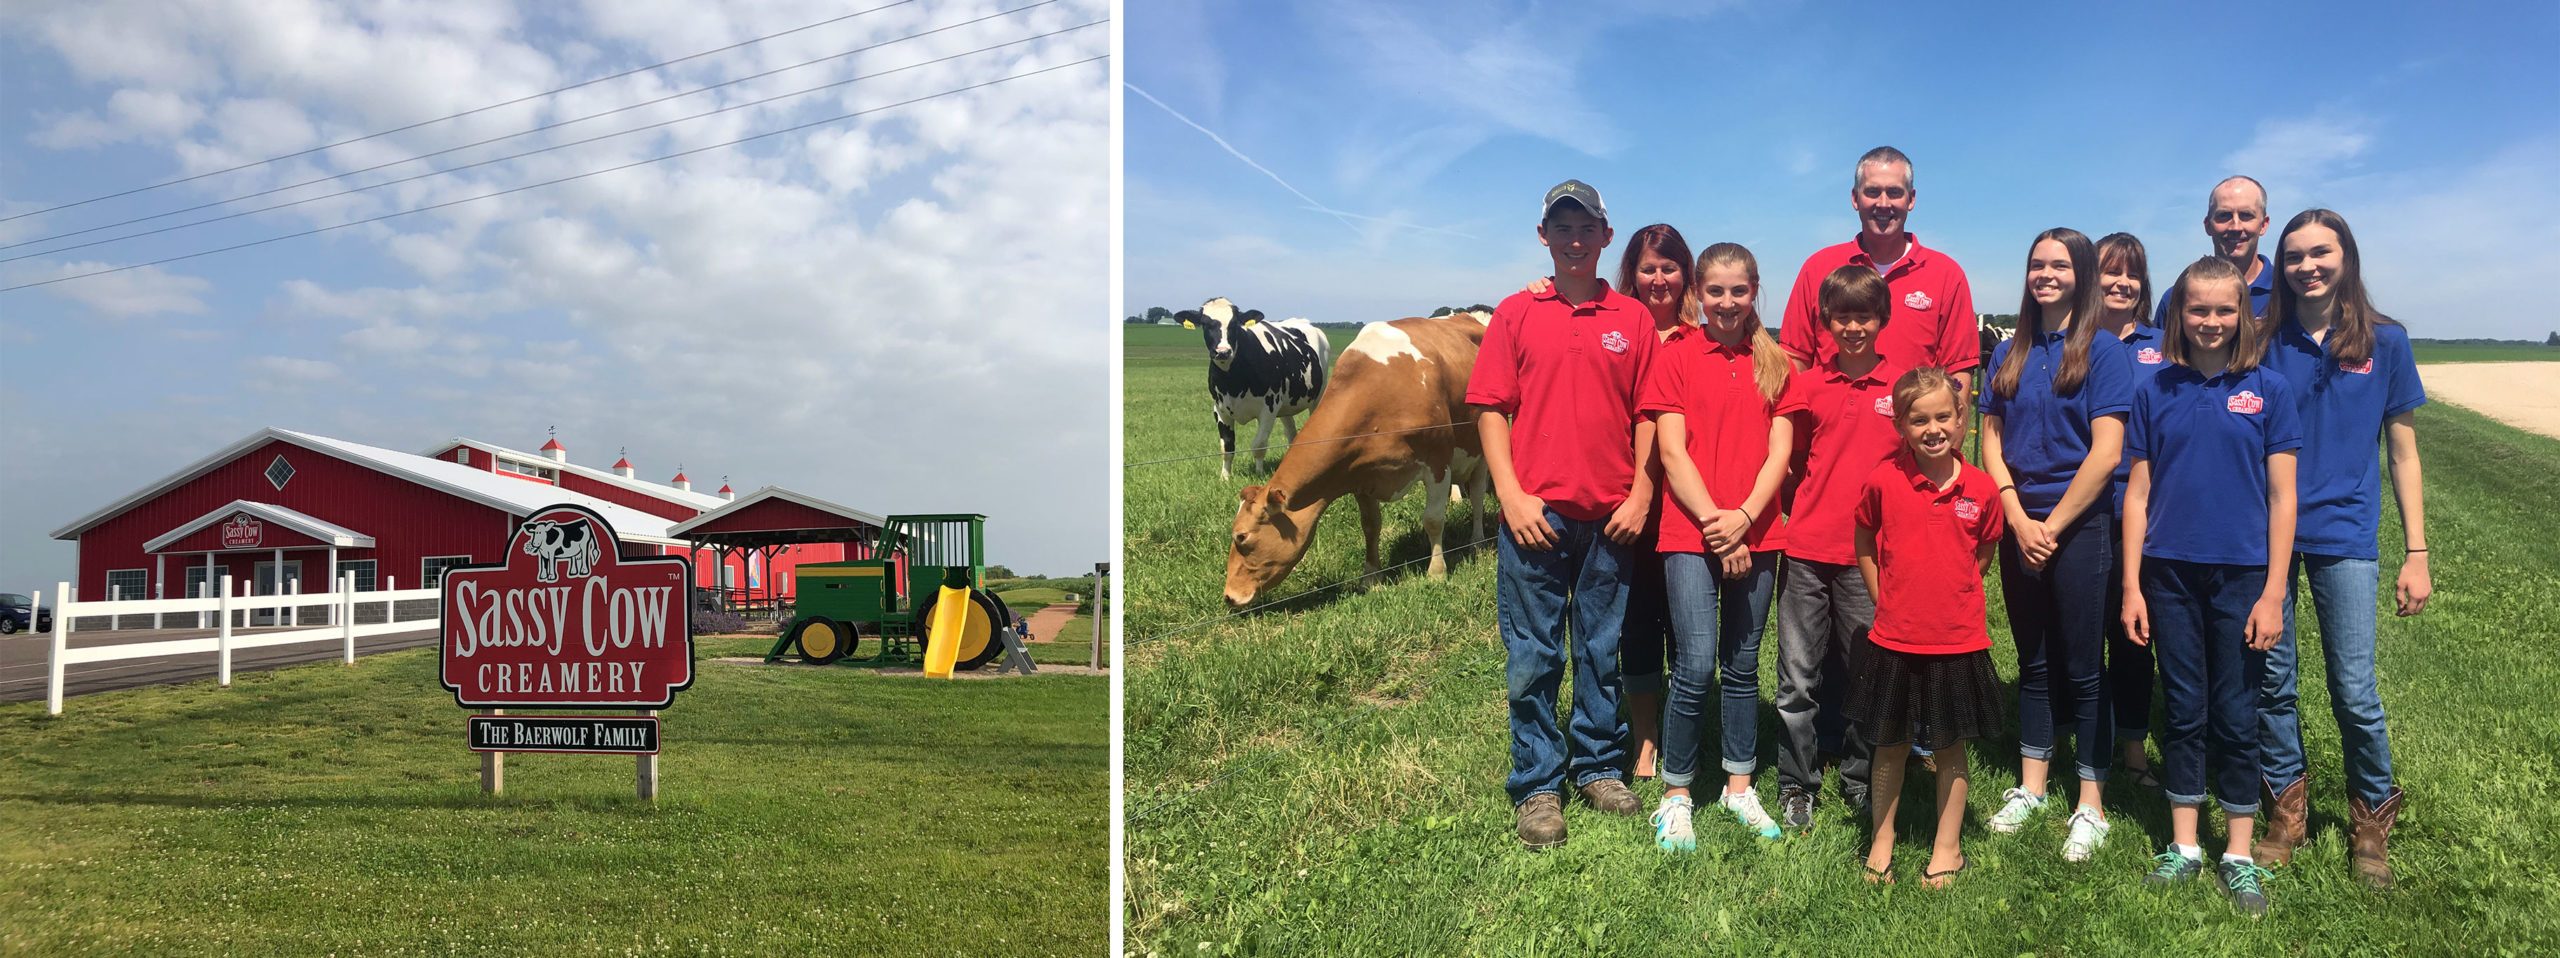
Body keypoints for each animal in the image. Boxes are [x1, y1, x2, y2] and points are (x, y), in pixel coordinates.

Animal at [1177, 295, 1331, 478]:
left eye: (1234, 324)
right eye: (1205, 324)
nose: (1222, 352)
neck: (1233, 383)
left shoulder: (1269, 408)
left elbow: (1259, 444)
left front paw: (1259, 474)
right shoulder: (1219, 409)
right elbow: (1227, 447)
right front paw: (1225, 477)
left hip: (1318, 397)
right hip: (1286, 405)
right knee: (1291, 432)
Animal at [1223, 311, 1495, 609]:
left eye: (1241, 536)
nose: (1229, 596)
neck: (1381, 391)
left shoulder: (1437, 463)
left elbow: (1433, 519)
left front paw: (1436, 572)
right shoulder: (1361, 476)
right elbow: (1371, 525)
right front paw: (1371, 577)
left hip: (1481, 451)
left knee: (1478, 496)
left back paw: (1477, 541)